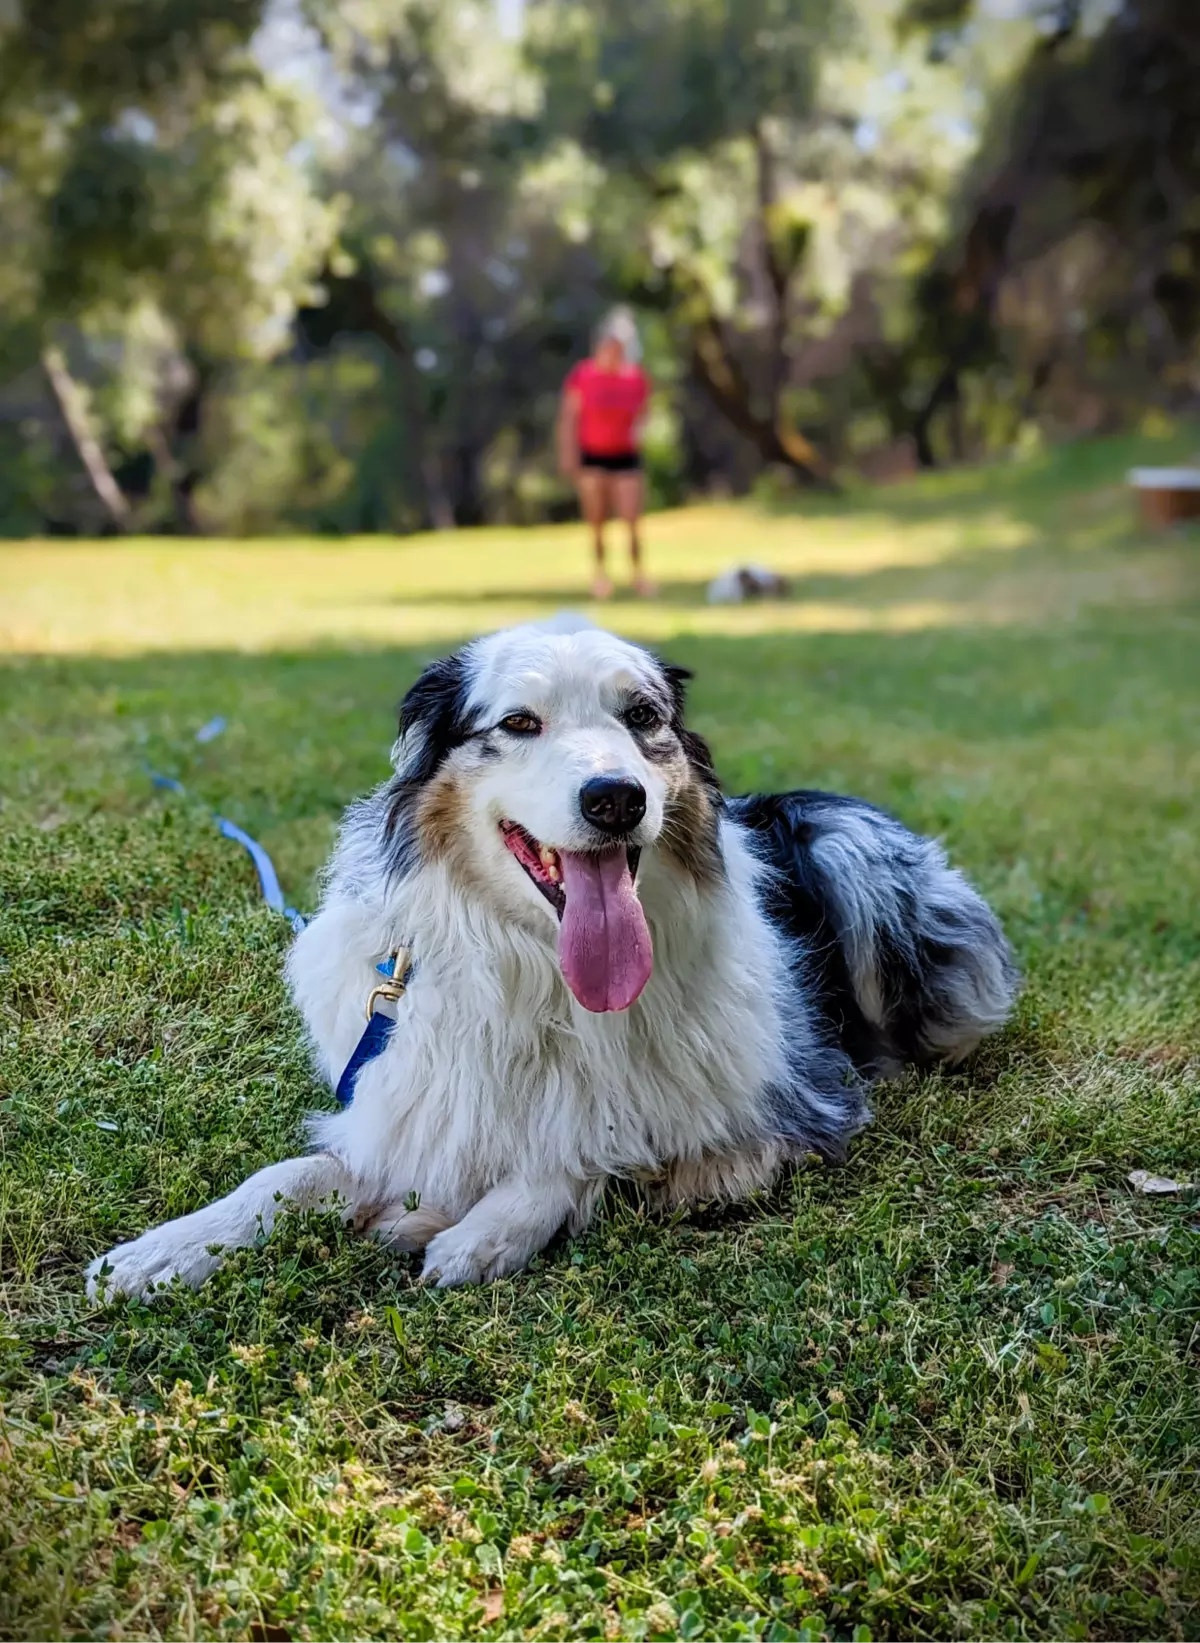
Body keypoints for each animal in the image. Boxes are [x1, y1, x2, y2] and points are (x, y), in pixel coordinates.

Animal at [84, 617, 1012, 1294]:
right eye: (519, 723)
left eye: (642, 718)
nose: (615, 798)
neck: (541, 972)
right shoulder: (410, 1103)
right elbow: (293, 1175)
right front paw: (166, 1248)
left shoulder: (796, 1100)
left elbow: (596, 1148)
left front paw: (479, 1229)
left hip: (852, 845)